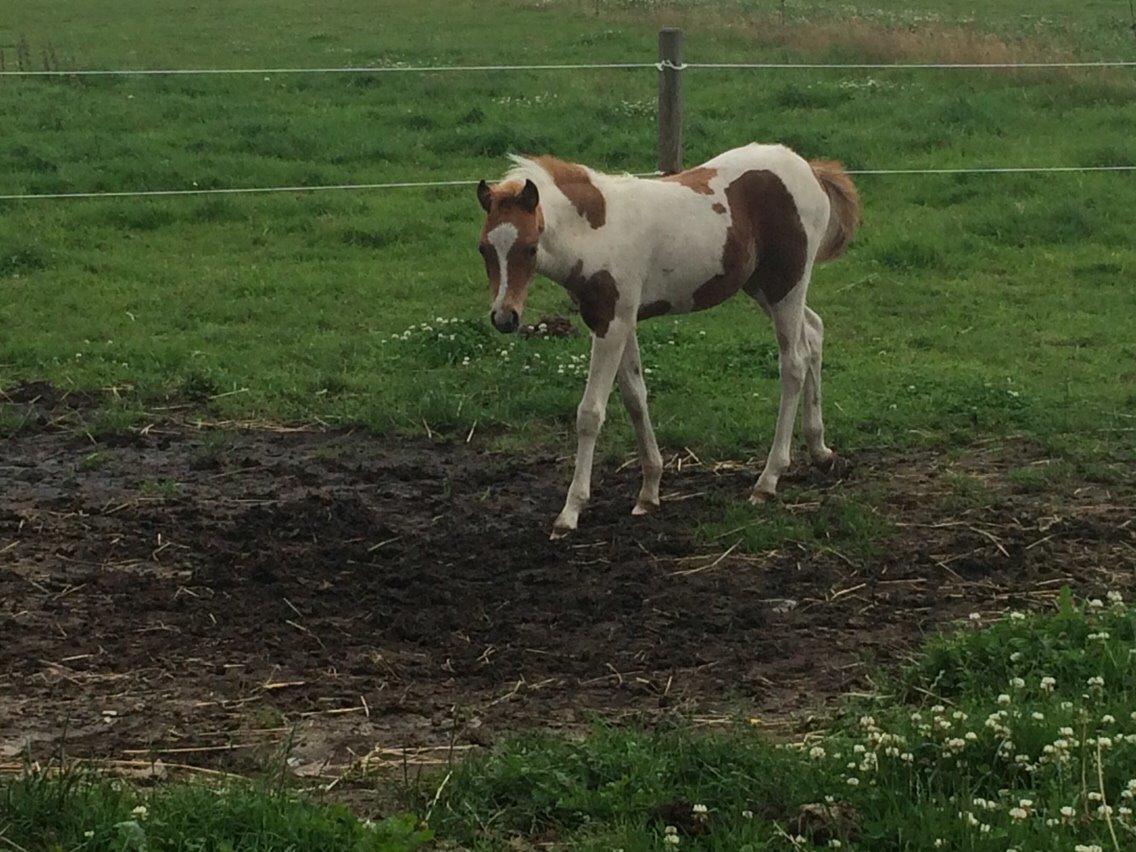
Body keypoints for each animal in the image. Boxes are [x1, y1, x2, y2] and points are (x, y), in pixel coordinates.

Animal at [474, 142, 854, 536]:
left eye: (530, 248)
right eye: (483, 248)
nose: (504, 317)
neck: (598, 231)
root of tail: (808, 168)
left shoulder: (610, 325)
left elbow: (590, 413)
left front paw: (570, 512)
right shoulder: (620, 322)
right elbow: (635, 398)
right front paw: (649, 491)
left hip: (786, 285)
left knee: (793, 363)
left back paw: (768, 481)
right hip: (763, 287)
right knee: (814, 334)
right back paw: (821, 451)